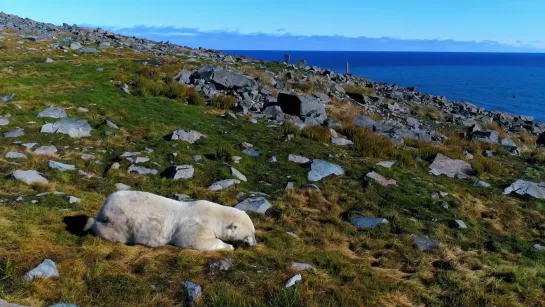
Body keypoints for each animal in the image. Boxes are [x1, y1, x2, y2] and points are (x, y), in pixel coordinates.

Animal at [83, 191, 258, 251]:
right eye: (250, 234)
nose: (255, 244)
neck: (215, 216)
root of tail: (105, 206)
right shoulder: (197, 224)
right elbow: (192, 240)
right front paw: (229, 246)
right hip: (120, 222)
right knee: (110, 231)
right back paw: (89, 223)